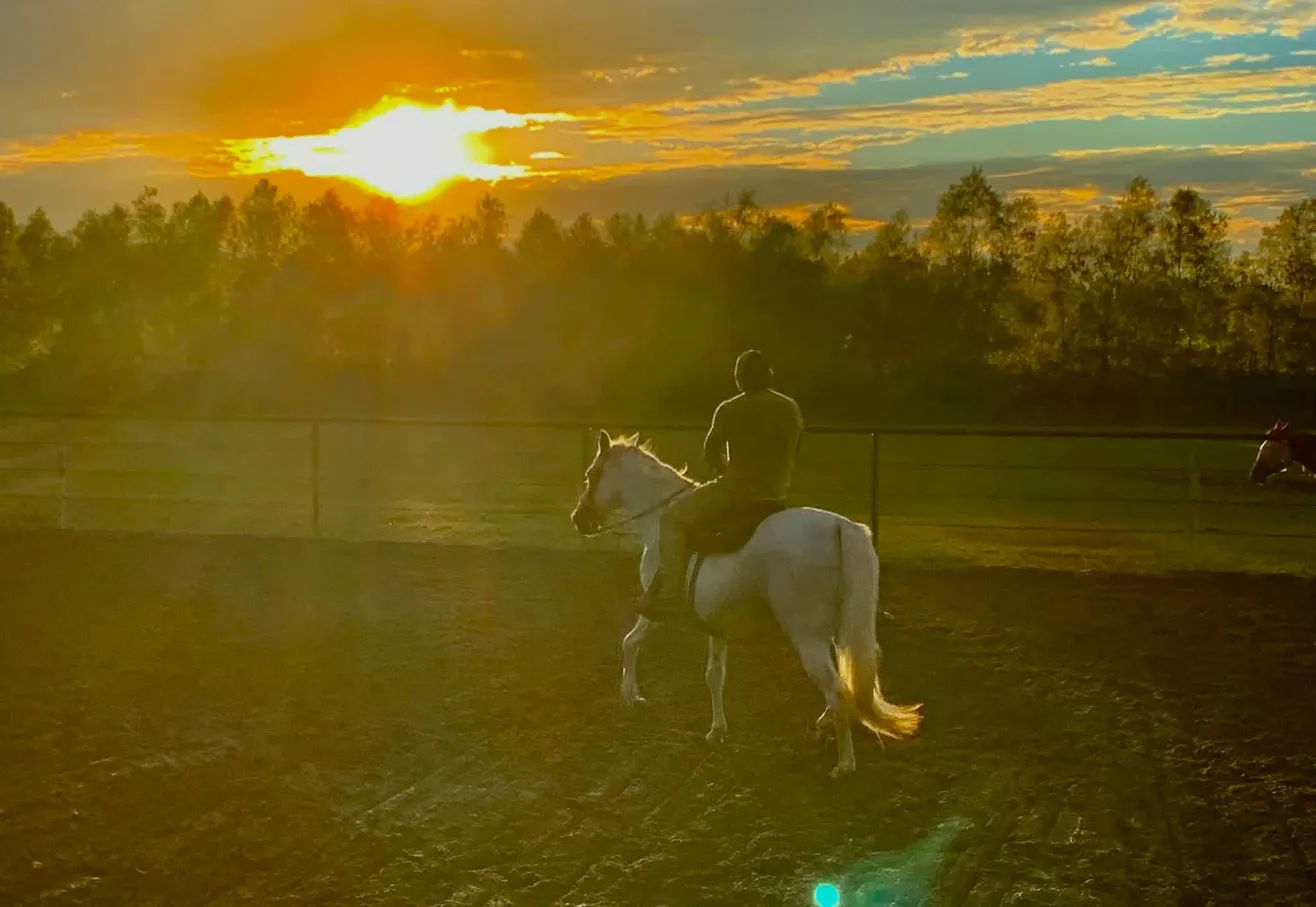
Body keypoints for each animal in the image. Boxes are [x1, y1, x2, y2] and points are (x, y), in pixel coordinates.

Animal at [569, 430, 922, 778]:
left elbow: (629, 642)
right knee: (852, 676)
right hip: (841, 628)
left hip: (808, 636)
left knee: (835, 689)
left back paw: (845, 764)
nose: (578, 520)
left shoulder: (654, 611)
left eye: (591, 475)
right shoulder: (715, 626)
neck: (657, 521)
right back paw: (828, 724)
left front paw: (630, 696)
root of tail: (840, 527)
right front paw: (716, 730)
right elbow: (714, 674)